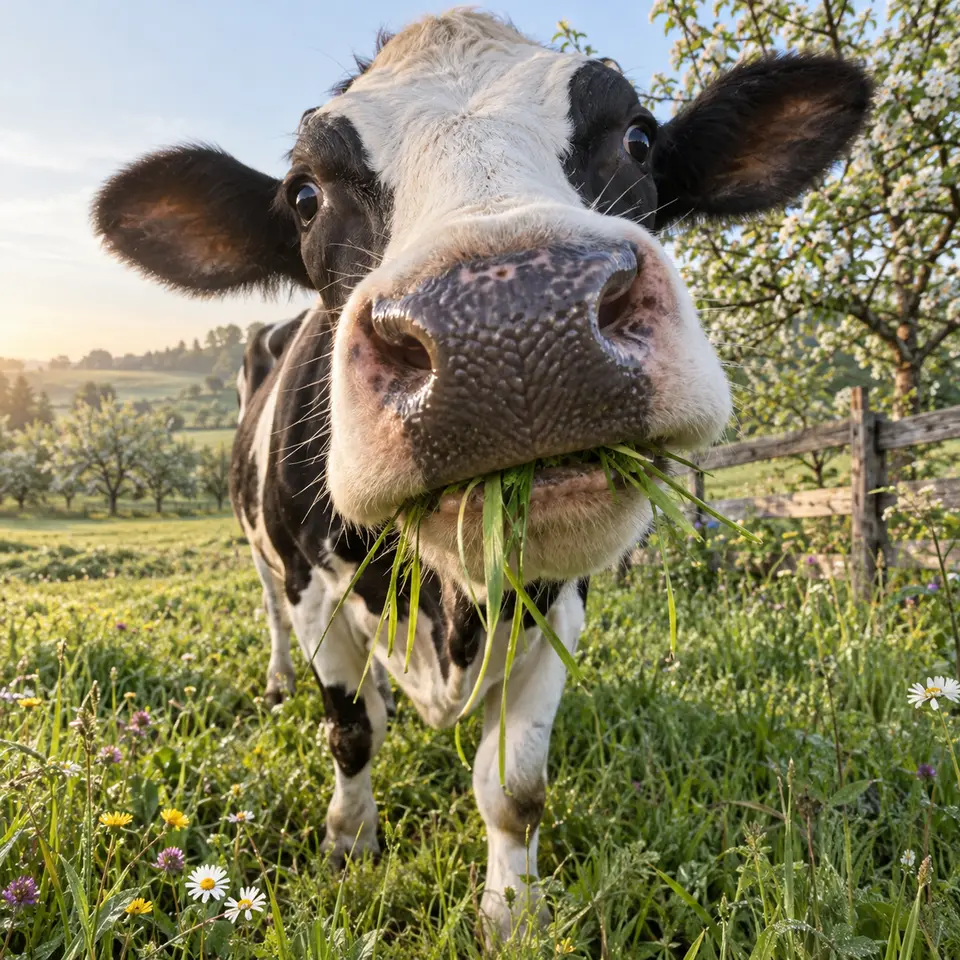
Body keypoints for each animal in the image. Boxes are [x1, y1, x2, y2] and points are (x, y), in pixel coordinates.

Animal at [92, 9, 870, 943]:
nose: (513, 315)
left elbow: (515, 788)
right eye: (305, 193)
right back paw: (285, 684)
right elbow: (348, 735)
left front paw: (514, 911)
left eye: (639, 139)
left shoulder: (562, 605)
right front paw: (349, 846)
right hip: (261, 550)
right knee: (275, 618)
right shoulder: (314, 589)